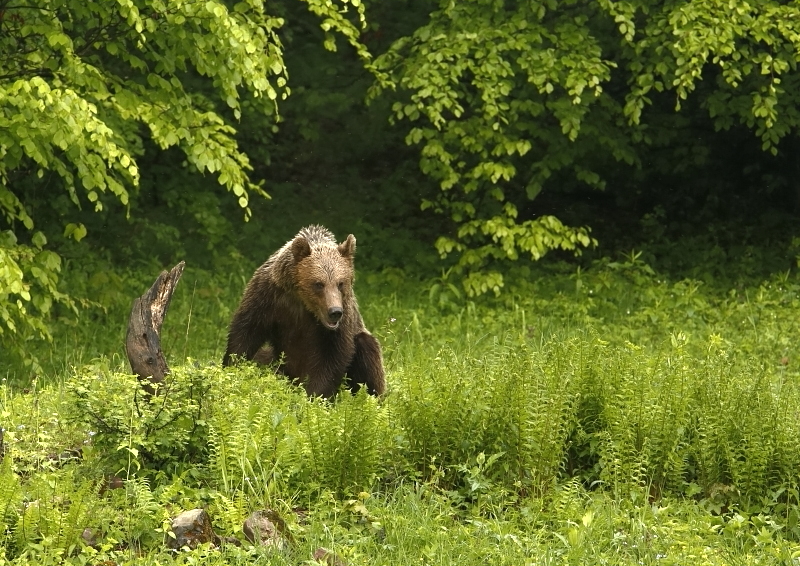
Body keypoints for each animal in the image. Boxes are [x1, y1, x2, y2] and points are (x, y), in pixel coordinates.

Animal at [223, 226, 386, 400]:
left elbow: (332, 357)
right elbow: (246, 332)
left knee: (367, 349)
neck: (302, 300)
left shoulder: (340, 319)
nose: (335, 312)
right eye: (319, 284)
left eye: (340, 283)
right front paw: (233, 369)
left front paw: (313, 395)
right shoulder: (268, 296)